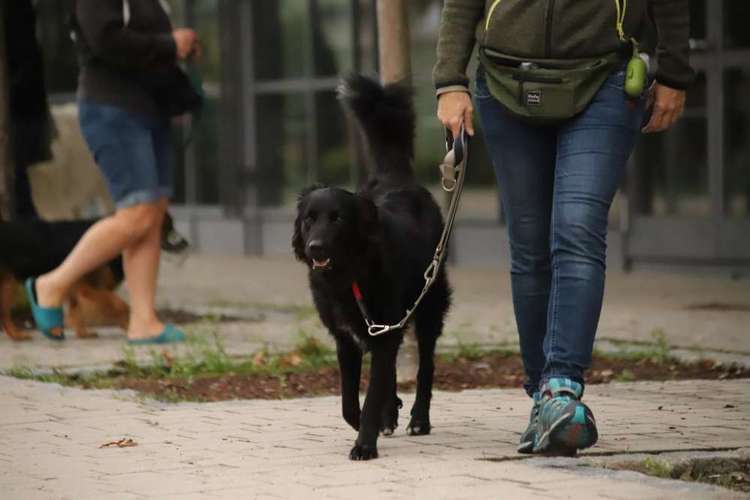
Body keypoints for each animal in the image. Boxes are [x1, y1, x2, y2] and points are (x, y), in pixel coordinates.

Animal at [292, 75, 452, 460]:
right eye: (309, 219)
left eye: (337, 219)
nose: (315, 247)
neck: (348, 275)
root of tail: (397, 178)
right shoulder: (347, 338)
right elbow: (350, 402)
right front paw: (376, 420)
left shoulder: (381, 329)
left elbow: (370, 395)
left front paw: (365, 444)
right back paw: (392, 413)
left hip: (429, 307)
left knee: (425, 365)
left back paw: (418, 419)